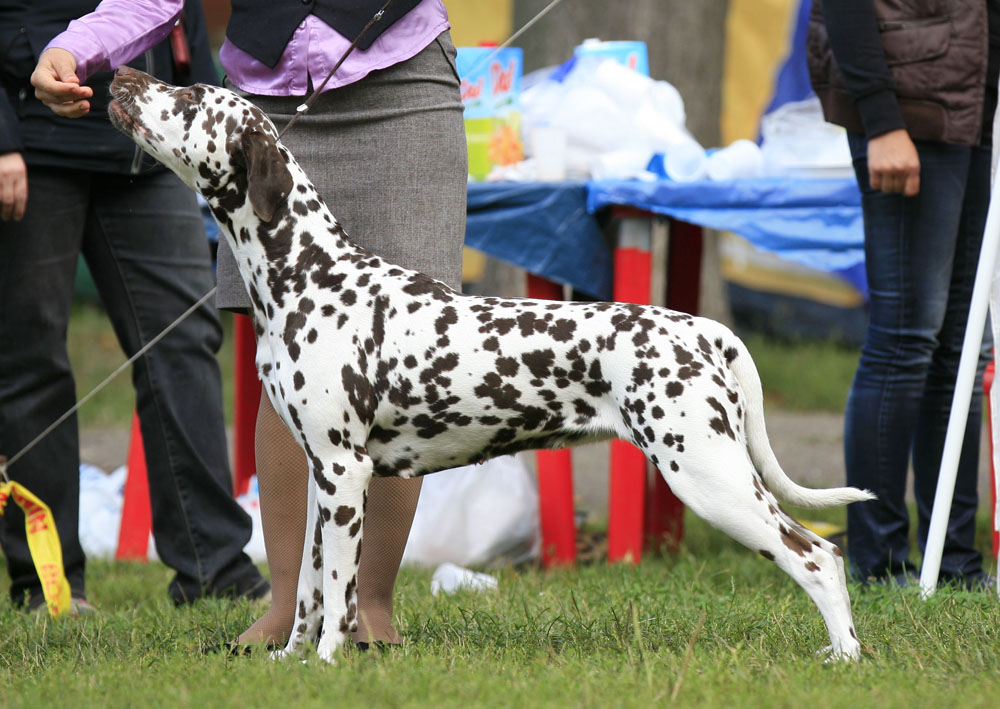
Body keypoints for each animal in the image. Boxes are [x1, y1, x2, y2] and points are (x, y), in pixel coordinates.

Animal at [107, 68, 876, 664]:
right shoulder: (319, 475)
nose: (120, 76)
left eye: (189, 97)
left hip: (711, 477)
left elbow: (340, 600)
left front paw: (325, 665)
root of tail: (704, 332)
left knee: (818, 556)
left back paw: (845, 655)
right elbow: (306, 593)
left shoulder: (345, 473)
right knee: (821, 555)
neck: (313, 274)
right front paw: (290, 660)